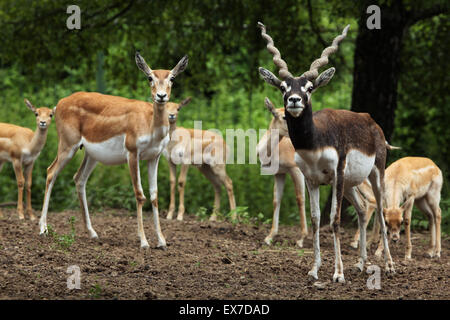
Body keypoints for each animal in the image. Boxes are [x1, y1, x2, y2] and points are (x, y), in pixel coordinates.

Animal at [37, 52, 187, 249]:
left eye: (172, 78)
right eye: (150, 77)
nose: (161, 96)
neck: (150, 125)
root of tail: (59, 103)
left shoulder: (153, 157)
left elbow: (154, 196)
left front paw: (162, 242)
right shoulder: (133, 153)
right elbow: (140, 194)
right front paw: (144, 242)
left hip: (91, 155)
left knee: (79, 178)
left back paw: (92, 233)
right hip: (68, 146)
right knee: (50, 172)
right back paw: (43, 229)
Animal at [256, 97, 310, 248]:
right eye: (284, 116)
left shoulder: (296, 170)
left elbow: (300, 198)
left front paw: (301, 239)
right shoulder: (279, 173)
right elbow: (276, 199)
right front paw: (269, 237)